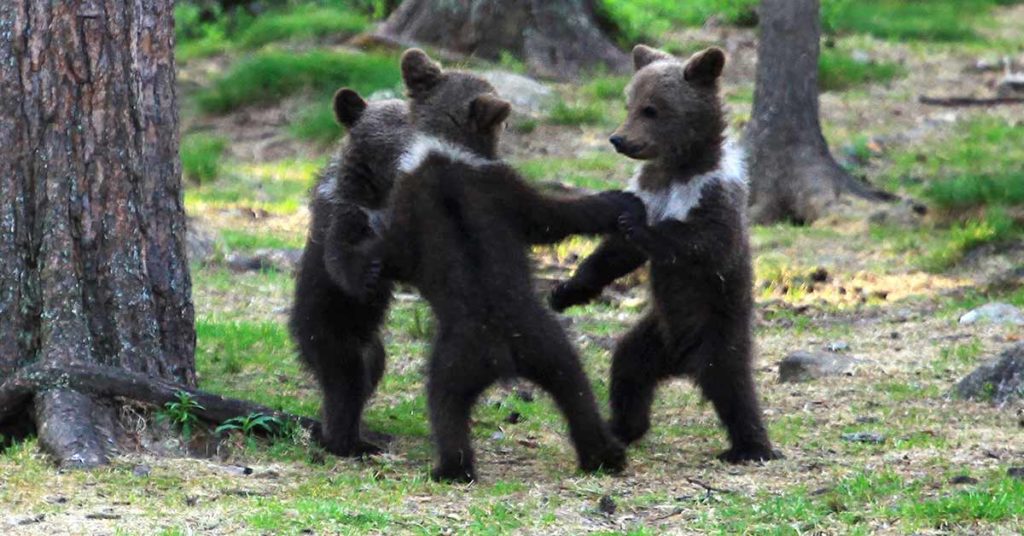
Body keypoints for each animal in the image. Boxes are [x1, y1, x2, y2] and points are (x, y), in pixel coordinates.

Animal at [289, 88, 412, 457]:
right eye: (396, 121)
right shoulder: (344, 216)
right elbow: (341, 260)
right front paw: (368, 277)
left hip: (372, 345)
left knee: (369, 374)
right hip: (328, 331)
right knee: (345, 382)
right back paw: (350, 442)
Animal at [353, 49, 646, 482]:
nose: (508, 119)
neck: (446, 147)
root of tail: (502, 353)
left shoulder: (482, 192)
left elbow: (553, 216)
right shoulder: (483, 193)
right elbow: (552, 217)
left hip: (480, 354)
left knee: (450, 405)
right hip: (537, 347)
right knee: (571, 390)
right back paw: (601, 454)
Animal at [549, 45, 781, 464]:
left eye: (652, 109)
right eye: (629, 103)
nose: (618, 139)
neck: (679, 168)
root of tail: (682, 362)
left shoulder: (715, 196)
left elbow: (701, 243)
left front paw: (637, 226)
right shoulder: (651, 191)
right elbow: (615, 255)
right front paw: (565, 291)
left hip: (718, 328)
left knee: (732, 384)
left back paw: (750, 446)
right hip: (655, 334)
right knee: (628, 368)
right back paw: (623, 426)